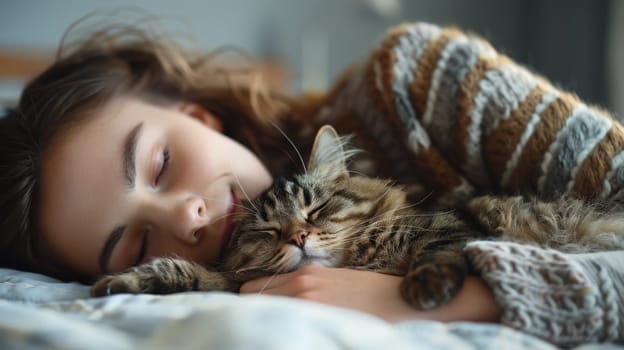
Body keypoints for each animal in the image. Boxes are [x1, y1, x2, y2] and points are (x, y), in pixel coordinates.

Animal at [90, 125, 624, 308]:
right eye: (270, 231)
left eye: (317, 209)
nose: (299, 238)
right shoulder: (233, 282)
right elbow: (185, 273)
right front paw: (121, 283)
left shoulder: (458, 226)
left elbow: (439, 251)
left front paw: (424, 288)